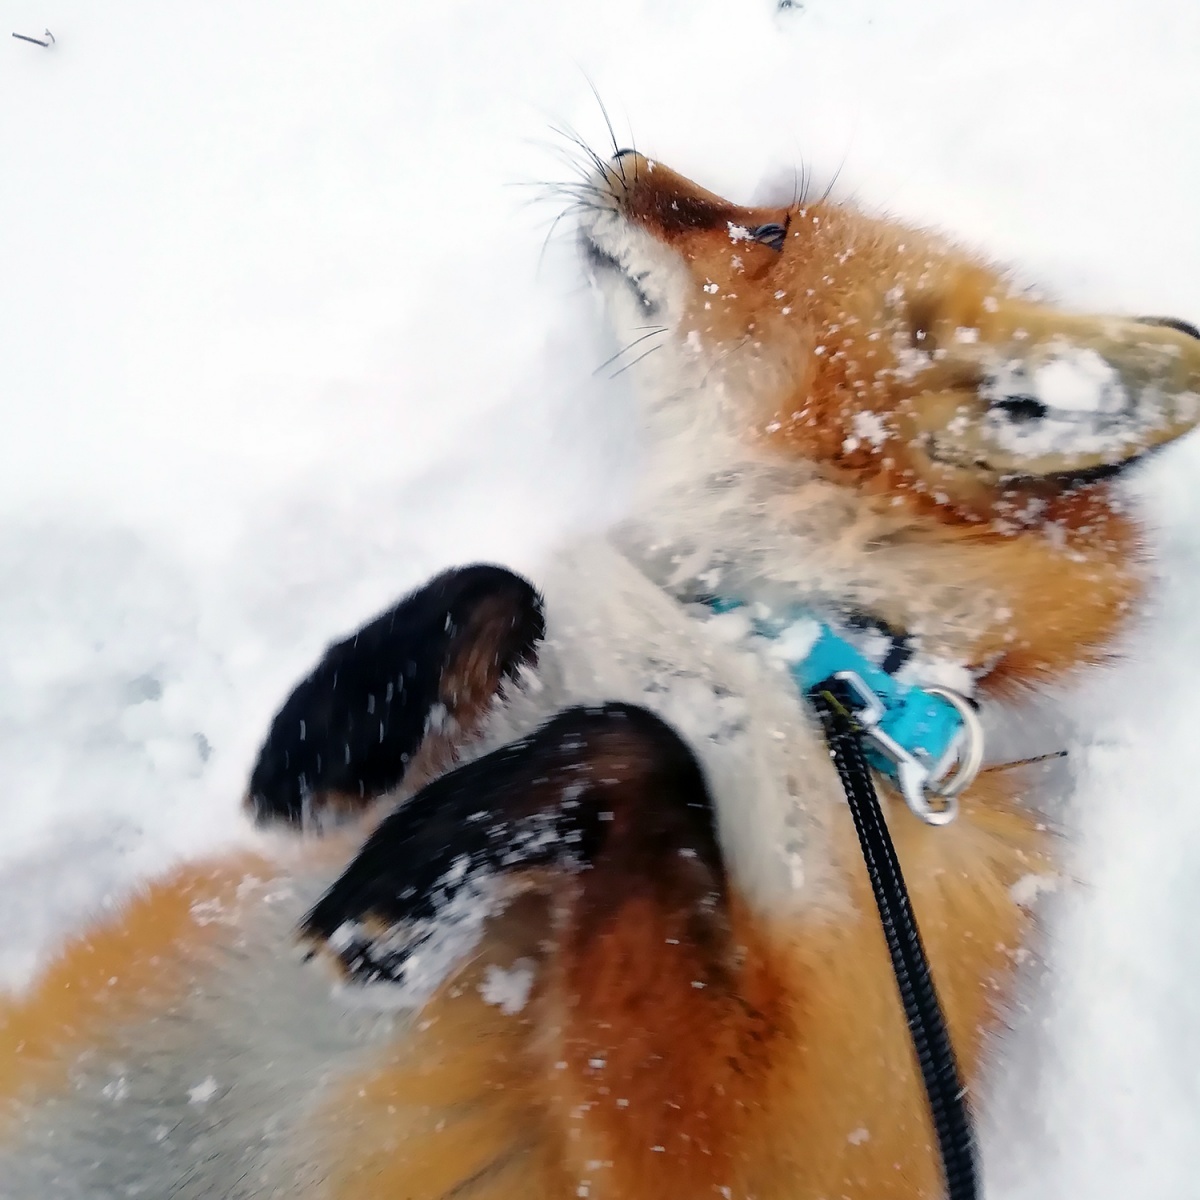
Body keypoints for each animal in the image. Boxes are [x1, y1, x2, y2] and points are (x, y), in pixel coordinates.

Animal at [7, 150, 1200, 1200]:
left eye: (767, 232)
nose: (620, 153)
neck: (794, 650)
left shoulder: (804, 1149)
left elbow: (636, 744)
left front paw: (415, 885)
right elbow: (500, 587)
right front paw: (328, 733)